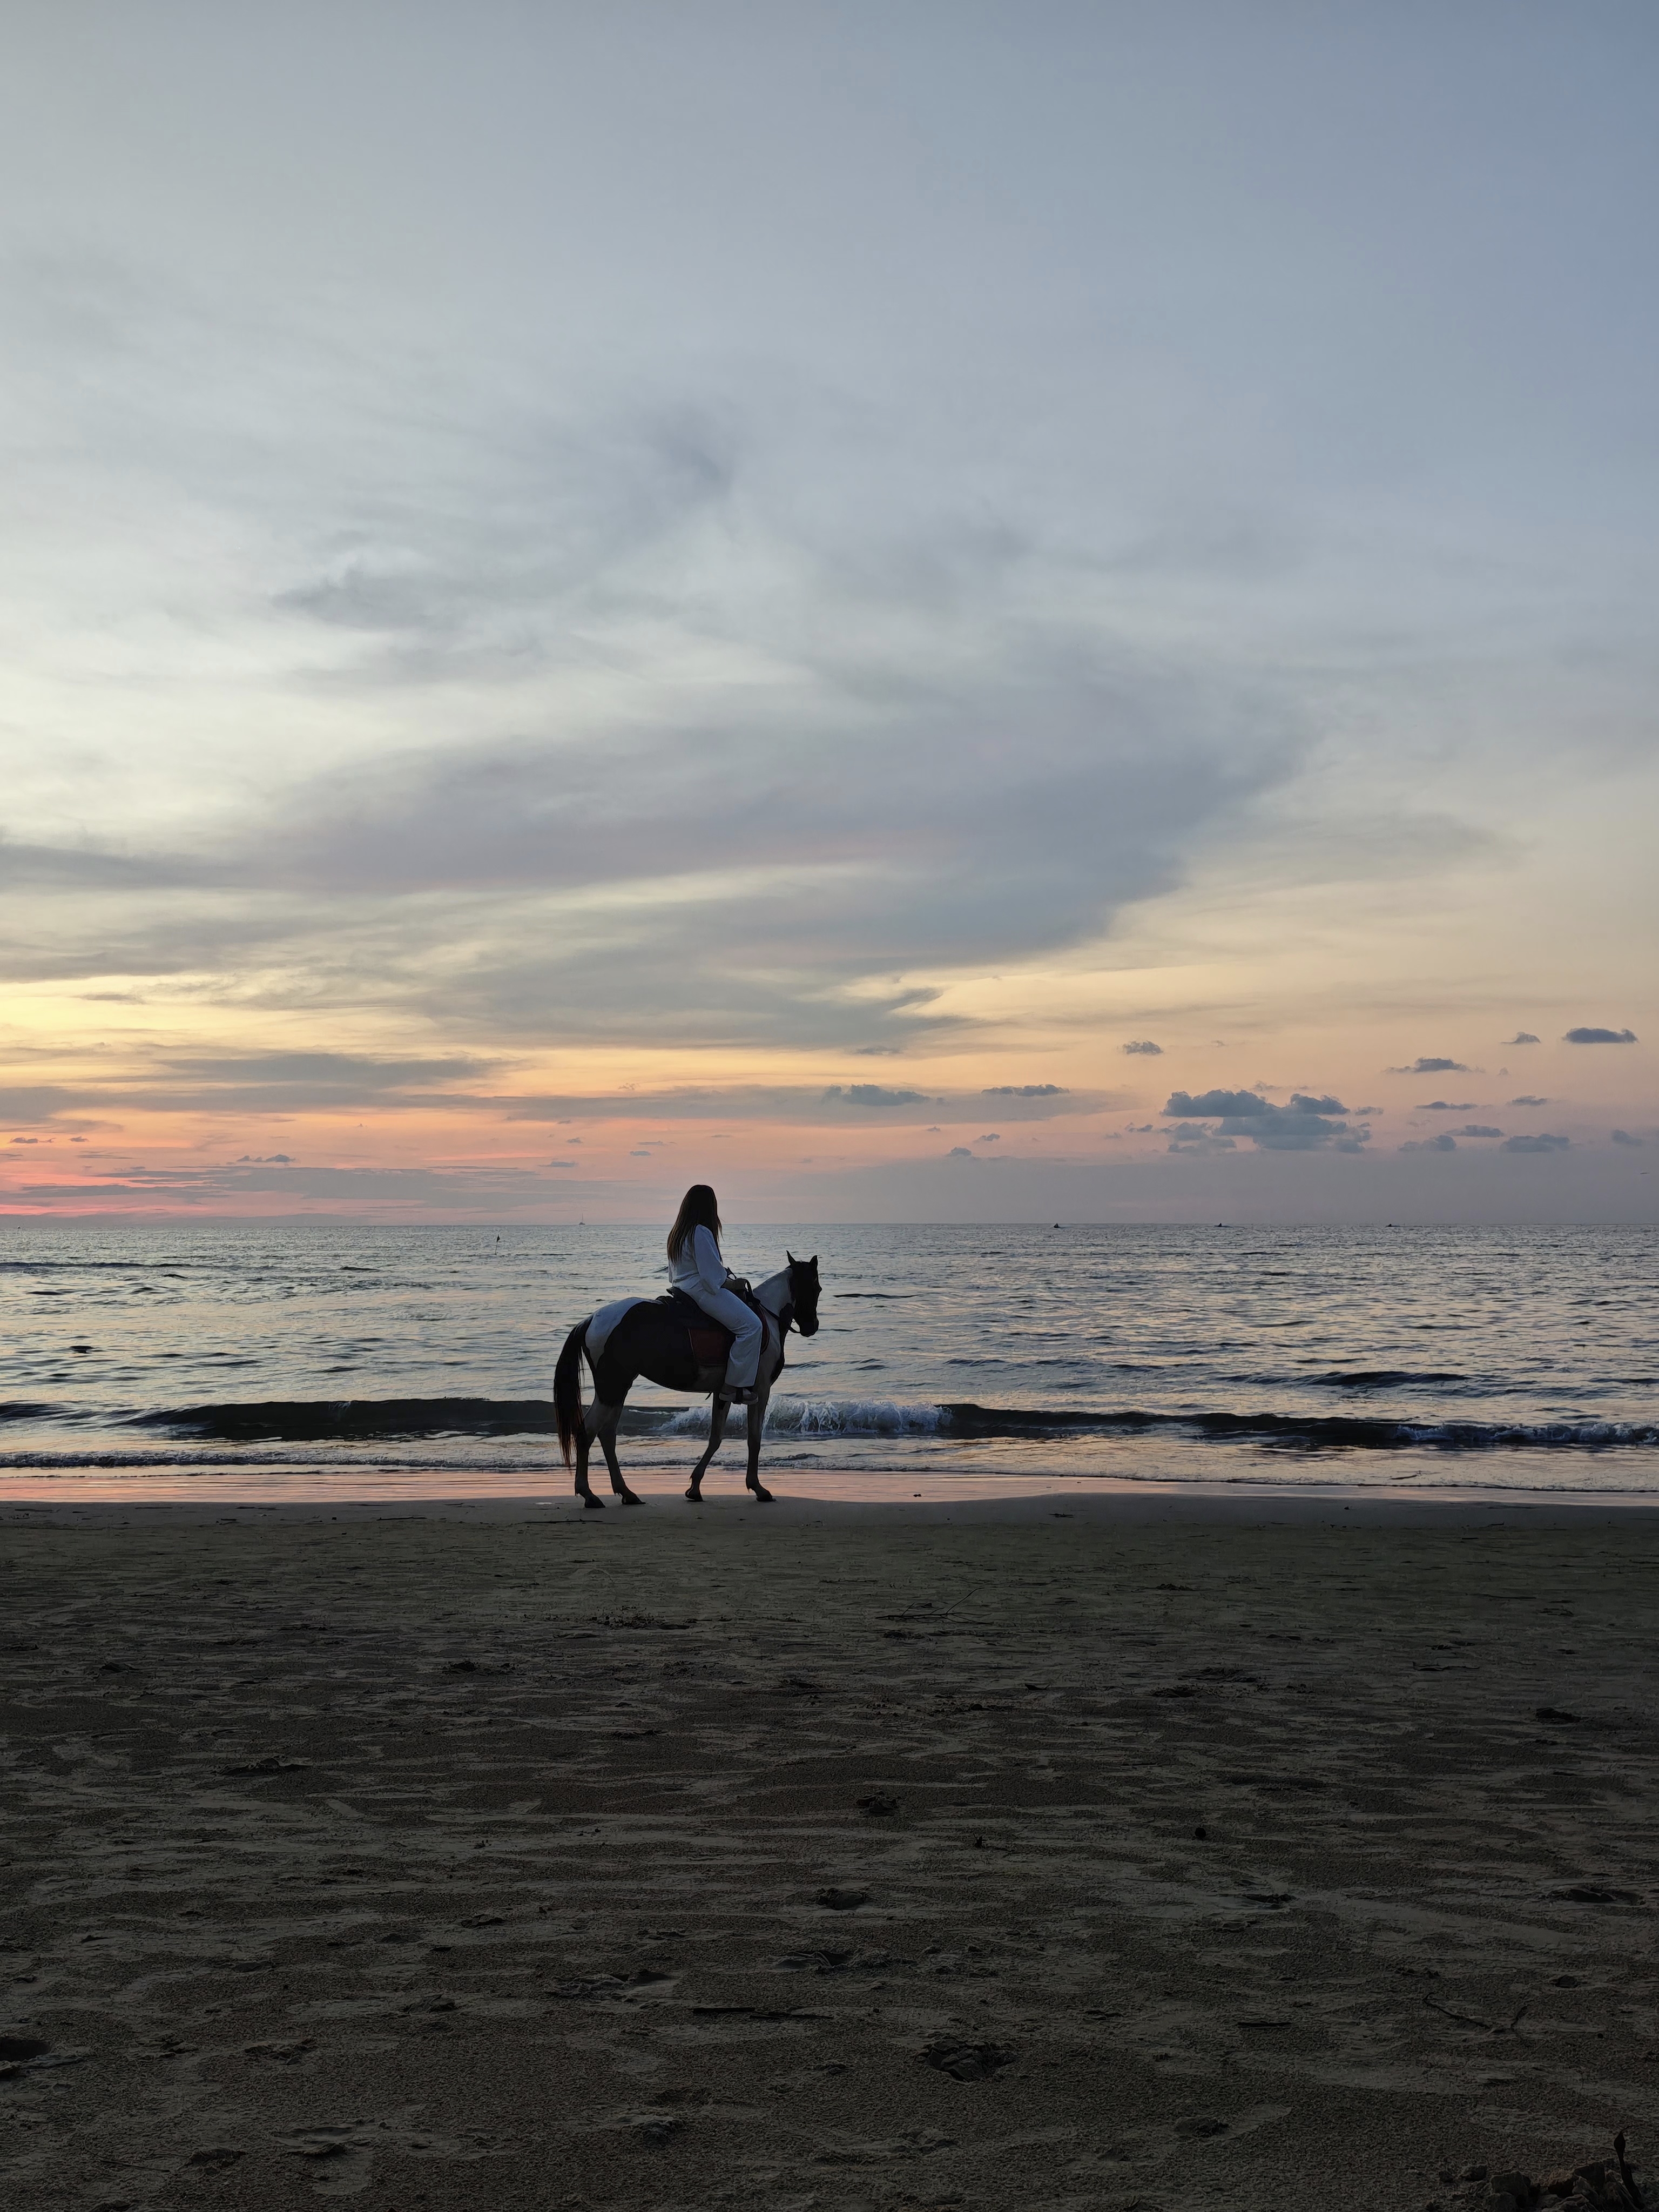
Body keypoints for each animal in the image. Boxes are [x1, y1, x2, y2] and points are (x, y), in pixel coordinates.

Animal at [552, 1253, 821, 1509]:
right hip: (611, 1388)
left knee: (607, 1434)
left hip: (618, 1389)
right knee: (587, 1431)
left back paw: (626, 1493)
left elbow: (715, 1438)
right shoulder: (761, 1390)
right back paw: (589, 1495)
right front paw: (758, 1488)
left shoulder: (724, 1393)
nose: (812, 1327)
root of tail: (592, 1320)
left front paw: (695, 1487)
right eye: (817, 1288)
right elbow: (754, 1438)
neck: (767, 1317)